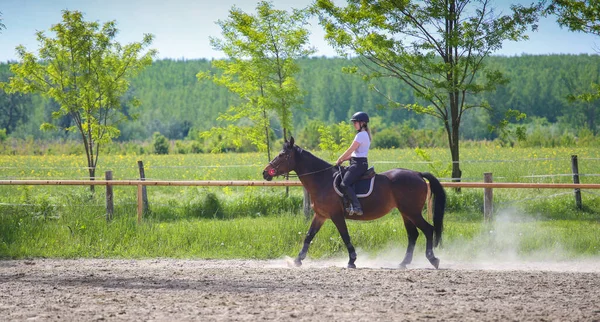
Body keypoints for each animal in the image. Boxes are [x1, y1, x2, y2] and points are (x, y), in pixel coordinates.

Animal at [262, 136, 446, 270]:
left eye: (282, 155)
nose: (265, 173)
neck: (322, 180)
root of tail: (417, 174)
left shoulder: (336, 215)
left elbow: (345, 236)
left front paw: (352, 261)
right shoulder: (320, 215)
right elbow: (309, 236)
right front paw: (297, 260)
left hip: (412, 212)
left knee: (428, 230)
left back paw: (433, 259)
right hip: (406, 213)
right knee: (413, 235)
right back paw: (403, 263)